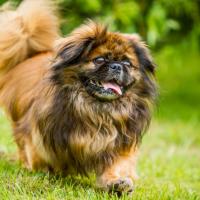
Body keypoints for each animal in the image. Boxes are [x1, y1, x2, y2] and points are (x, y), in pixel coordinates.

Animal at [0, 0, 156, 195]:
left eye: (127, 63)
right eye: (100, 59)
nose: (117, 66)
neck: (97, 112)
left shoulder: (120, 144)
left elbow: (116, 166)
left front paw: (117, 183)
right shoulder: (41, 138)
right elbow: (41, 160)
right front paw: (46, 173)